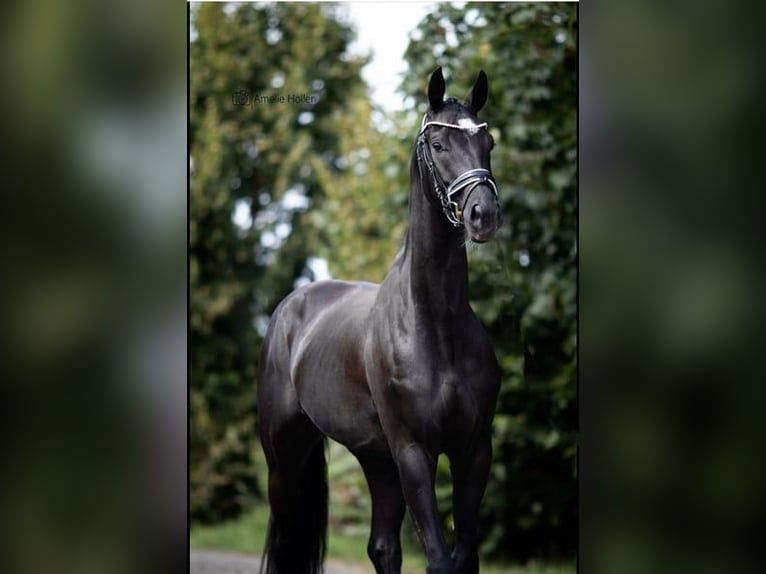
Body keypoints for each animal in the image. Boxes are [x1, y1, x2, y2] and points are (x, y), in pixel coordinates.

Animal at [258, 66, 503, 574]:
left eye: (487, 143)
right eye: (438, 144)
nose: (484, 215)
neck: (435, 329)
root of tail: (292, 304)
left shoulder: (473, 450)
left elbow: (464, 556)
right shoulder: (413, 451)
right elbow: (439, 559)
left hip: (376, 459)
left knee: (383, 547)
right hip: (285, 456)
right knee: (288, 535)